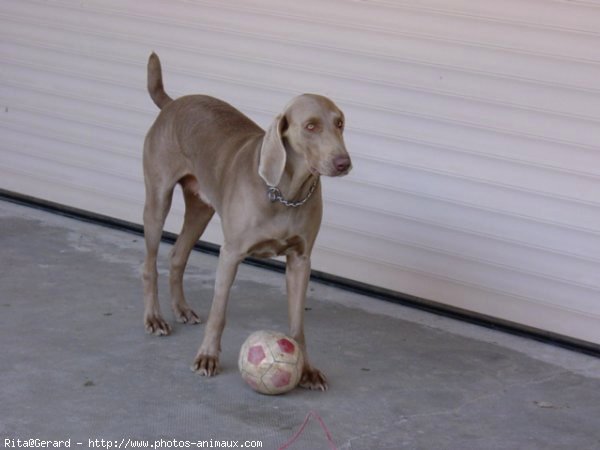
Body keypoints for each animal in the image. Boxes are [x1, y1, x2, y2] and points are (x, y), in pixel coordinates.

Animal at [142, 53, 352, 390]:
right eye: (310, 126)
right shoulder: (231, 254)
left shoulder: (301, 260)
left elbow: (297, 323)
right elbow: (219, 313)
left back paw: (182, 309)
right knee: (150, 264)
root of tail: (172, 104)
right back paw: (154, 318)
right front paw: (207, 357)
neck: (286, 193)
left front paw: (306, 369)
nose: (344, 162)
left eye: (340, 123)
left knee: (177, 255)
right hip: (158, 200)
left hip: (201, 208)